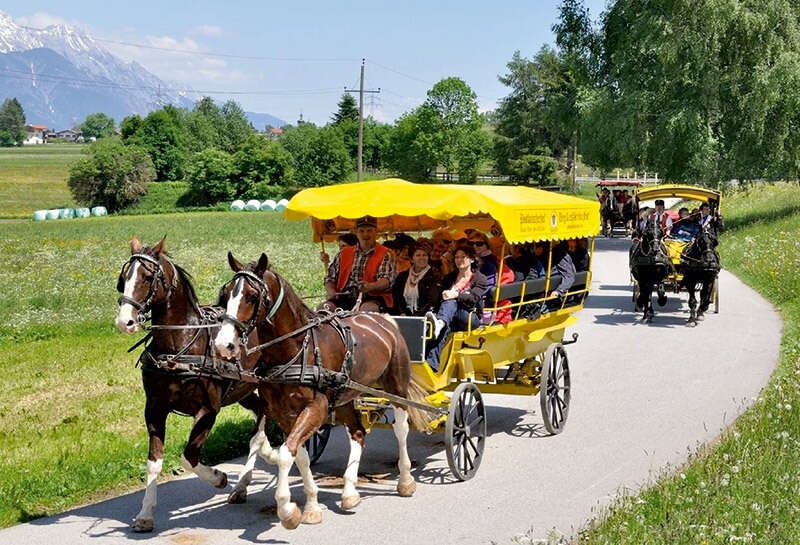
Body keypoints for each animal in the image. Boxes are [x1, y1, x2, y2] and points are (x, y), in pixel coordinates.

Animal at [114, 236, 274, 528]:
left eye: (147, 277)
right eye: (123, 278)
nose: (125, 321)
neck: (179, 345)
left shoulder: (208, 410)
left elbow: (188, 457)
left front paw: (219, 478)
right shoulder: (154, 409)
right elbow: (154, 462)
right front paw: (145, 513)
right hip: (244, 388)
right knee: (260, 415)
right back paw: (248, 477)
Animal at [211, 253, 424, 528]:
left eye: (252, 295)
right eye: (226, 294)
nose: (222, 345)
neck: (296, 349)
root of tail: (383, 319)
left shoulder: (316, 407)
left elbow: (285, 453)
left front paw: (287, 509)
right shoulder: (284, 413)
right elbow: (297, 454)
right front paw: (311, 506)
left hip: (395, 387)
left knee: (401, 428)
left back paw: (406, 480)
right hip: (344, 397)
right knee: (358, 432)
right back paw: (349, 492)